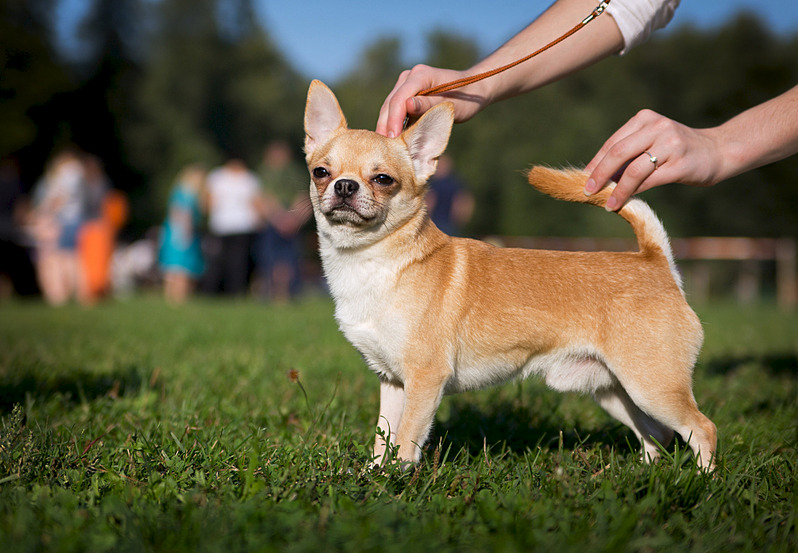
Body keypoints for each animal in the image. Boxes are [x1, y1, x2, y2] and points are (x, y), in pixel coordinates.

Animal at [304, 81, 720, 470]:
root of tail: (655, 260)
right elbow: (384, 436)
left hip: (652, 386)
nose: (345, 185)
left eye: (383, 179)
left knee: (702, 428)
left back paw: (704, 482)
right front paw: (373, 475)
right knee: (656, 434)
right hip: (615, 391)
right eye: (320, 172)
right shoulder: (392, 381)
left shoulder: (424, 379)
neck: (371, 261)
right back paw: (647, 476)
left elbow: (407, 440)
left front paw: (396, 481)